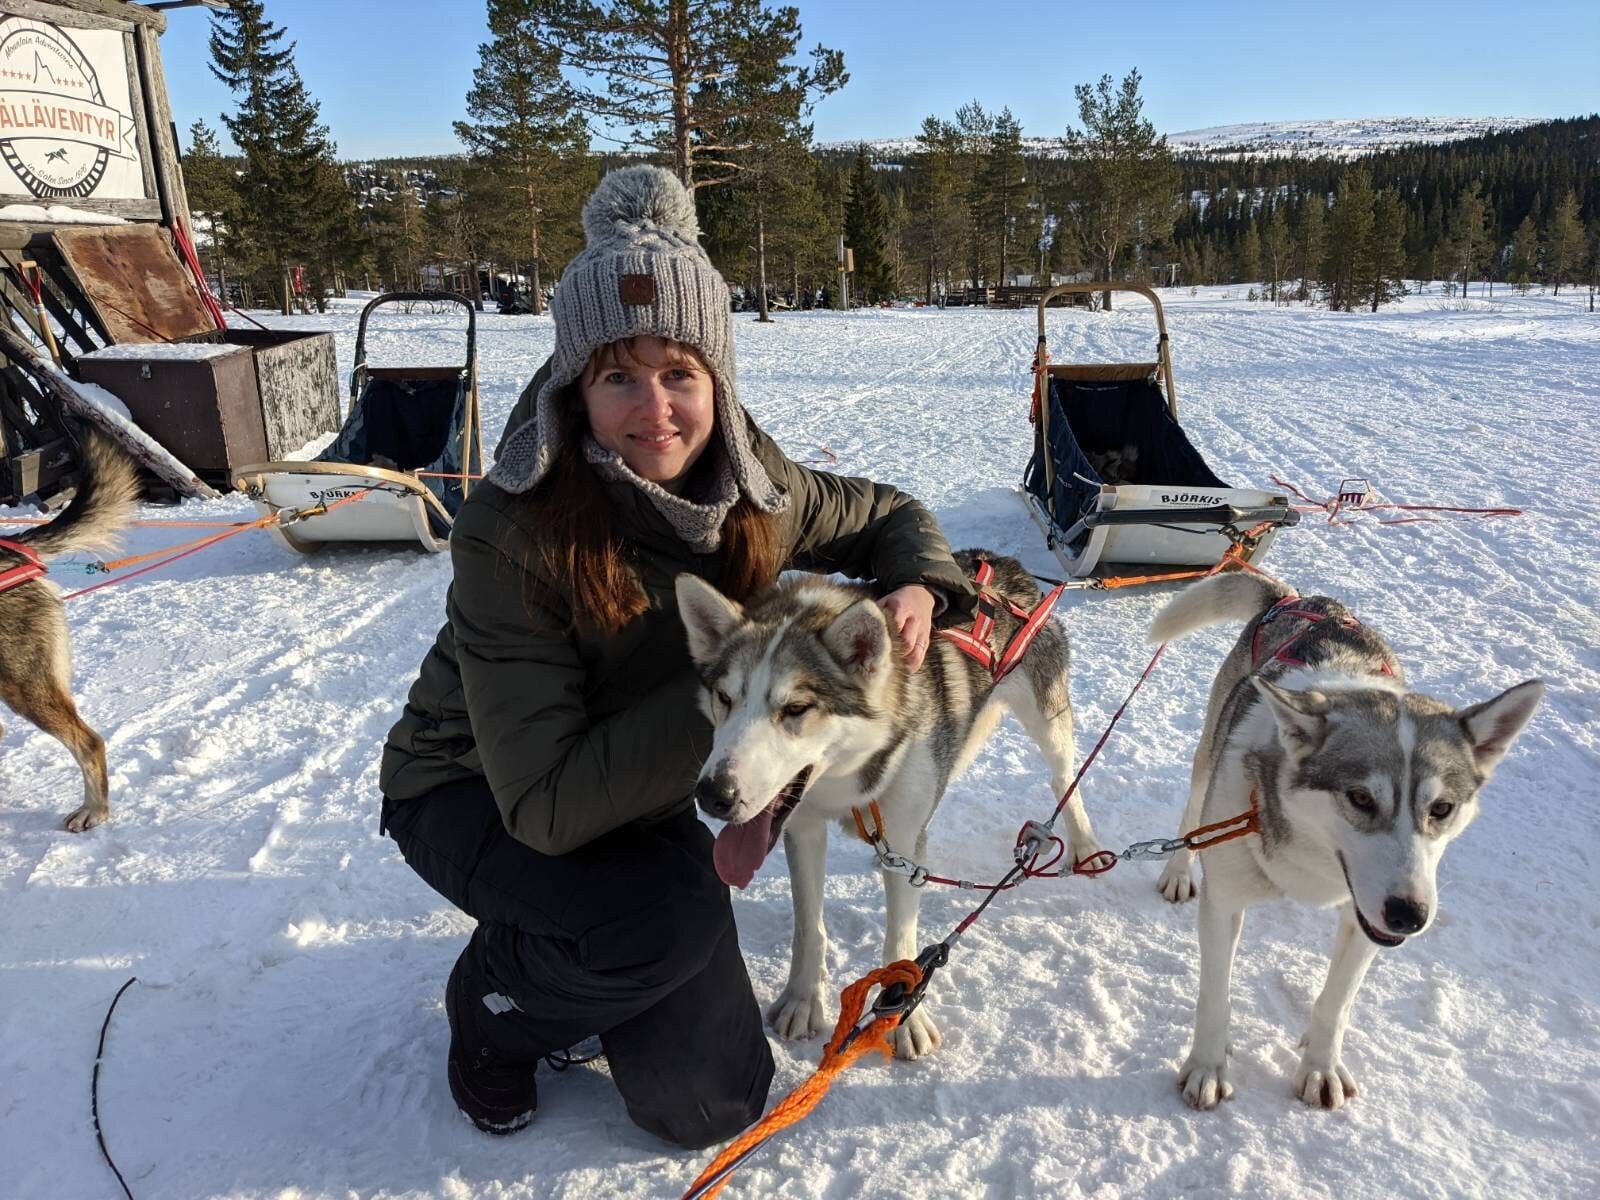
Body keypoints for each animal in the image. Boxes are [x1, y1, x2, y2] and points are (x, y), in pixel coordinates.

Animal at [675, 553, 1100, 1062]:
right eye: (725, 697)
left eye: (796, 708)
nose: (713, 795)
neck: (846, 779)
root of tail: (1004, 564)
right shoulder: (804, 829)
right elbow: (808, 928)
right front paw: (803, 999)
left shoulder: (901, 831)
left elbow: (900, 935)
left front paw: (903, 1019)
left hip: (1048, 722)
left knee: (1065, 778)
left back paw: (1085, 843)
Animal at [1152, 579, 1536, 1113]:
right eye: (1360, 798)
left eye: (1441, 808)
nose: (1409, 916)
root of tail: (1297, 597)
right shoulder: (1224, 901)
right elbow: (1215, 996)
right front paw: (1207, 1066)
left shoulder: (1365, 922)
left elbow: (1335, 1003)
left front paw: (1320, 1066)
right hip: (1208, 760)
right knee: (1191, 817)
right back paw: (1178, 870)